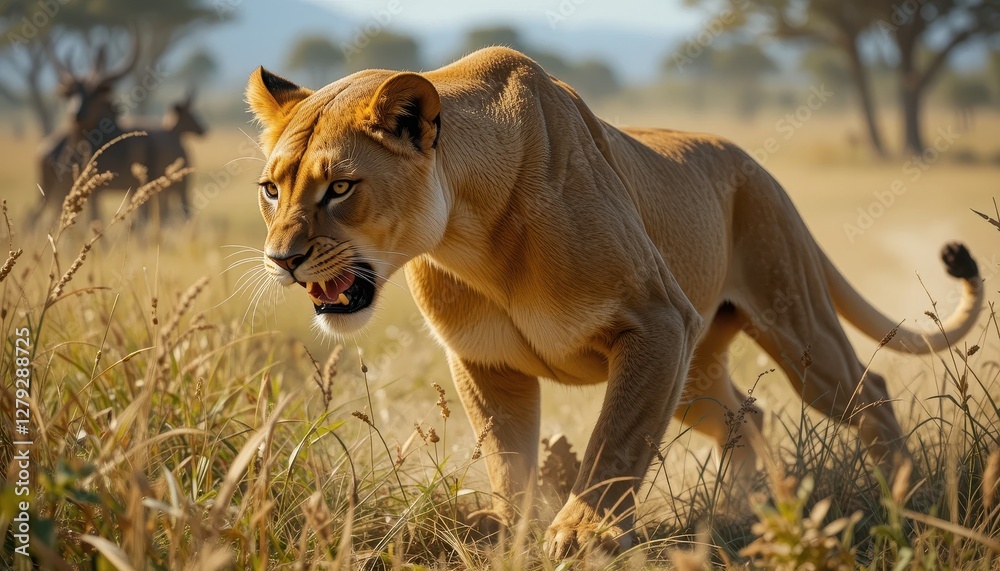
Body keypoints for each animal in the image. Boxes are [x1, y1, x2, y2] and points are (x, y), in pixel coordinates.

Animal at [244, 47, 984, 558]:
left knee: (869, 391)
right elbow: (507, 459)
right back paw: (750, 508)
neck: (468, 234)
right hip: (694, 374)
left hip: (792, 325)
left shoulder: (658, 322)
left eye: (341, 187)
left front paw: (583, 534)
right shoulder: (485, 362)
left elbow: (615, 442)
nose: (281, 260)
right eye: (271, 189)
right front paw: (512, 535)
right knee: (747, 415)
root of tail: (760, 168)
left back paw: (905, 499)